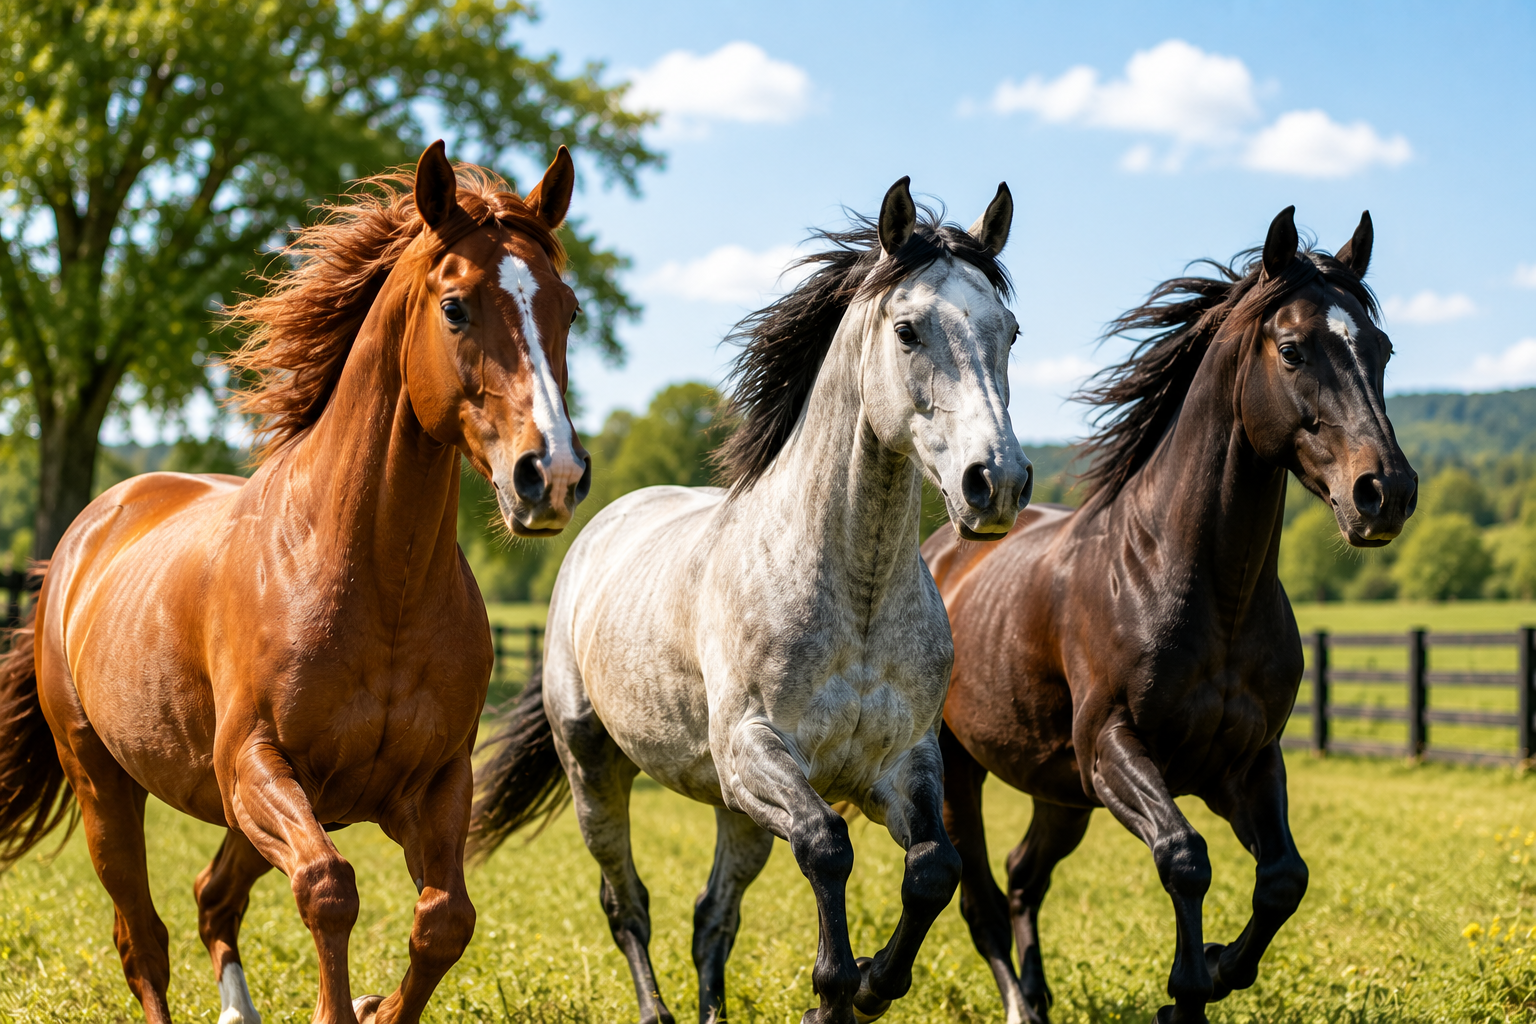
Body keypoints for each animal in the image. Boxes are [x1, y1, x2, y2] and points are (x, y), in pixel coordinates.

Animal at [0, 141, 590, 1024]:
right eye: (455, 307)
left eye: (570, 309)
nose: (549, 475)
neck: (375, 586)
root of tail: (84, 535)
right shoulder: (258, 764)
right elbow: (328, 888)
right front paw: (345, 1008)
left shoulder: (432, 784)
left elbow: (444, 920)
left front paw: (378, 1006)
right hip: (105, 785)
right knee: (144, 941)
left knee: (213, 898)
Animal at [472, 177, 1032, 1024]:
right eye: (907, 330)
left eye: (1012, 331)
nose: (995, 482)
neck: (855, 599)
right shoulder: (755, 754)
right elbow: (827, 846)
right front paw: (833, 989)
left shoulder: (902, 762)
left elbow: (935, 867)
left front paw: (869, 986)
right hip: (597, 768)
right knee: (626, 902)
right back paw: (658, 1012)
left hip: (731, 809)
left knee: (713, 915)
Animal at [922, 207, 1417, 1024]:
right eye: (1292, 350)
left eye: (1381, 349)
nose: (1386, 493)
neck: (1196, 587)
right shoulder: (1115, 748)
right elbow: (1184, 858)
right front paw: (1187, 988)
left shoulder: (1244, 762)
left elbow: (1284, 878)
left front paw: (1216, 968)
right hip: (960, 768)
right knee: (981, 895)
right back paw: (1019, 1002)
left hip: (1060, 790)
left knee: (1025, 874)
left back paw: (1041, 994)